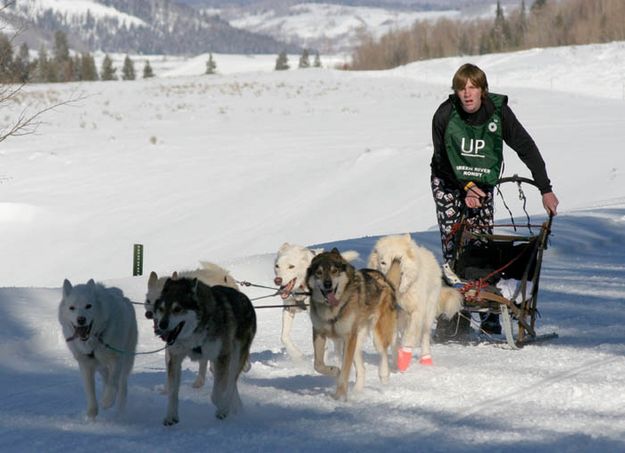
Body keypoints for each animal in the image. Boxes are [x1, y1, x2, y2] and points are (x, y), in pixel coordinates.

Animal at [58, 278, 138, 420]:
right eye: (72, 308)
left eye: (88, 306)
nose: (81, 319)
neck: (95, 340)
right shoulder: (86, 364)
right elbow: (90, 391)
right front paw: (92, 412)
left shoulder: (116, 359)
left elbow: (113, 382)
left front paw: (107, 401)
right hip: (101, 366)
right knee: (107, 378)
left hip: (127, 360)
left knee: (121, 385)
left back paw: (120, 409)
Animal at [149, 276, 256, 424]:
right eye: (161, 308)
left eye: (177, 309)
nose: (161, 325)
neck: (194, 334)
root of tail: (246, 299)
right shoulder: (175, 358)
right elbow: (173, 391)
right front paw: (171, 416)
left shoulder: (222, 357)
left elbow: (216, 394)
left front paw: (223, 409)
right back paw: (236, 407)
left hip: (234, 357)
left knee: (231, 382)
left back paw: (228, 407)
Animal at [306, 247, 394, 400]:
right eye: (319, 272)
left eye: (334, 271)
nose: (328, 284)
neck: (332, 310)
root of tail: (380, 276)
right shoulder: (319, 333)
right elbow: (318, 365)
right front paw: (334, 371)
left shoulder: (348, 337)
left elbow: (345, 372)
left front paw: (340, 396)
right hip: (356, 340)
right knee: (362, 369)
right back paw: (357, 391)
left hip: (376, 333)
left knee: (382, 352)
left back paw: (383, 375)